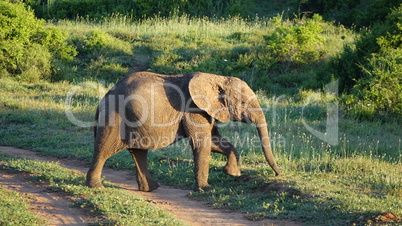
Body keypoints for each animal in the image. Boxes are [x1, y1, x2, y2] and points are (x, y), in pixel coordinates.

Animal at [85, 71, 282, 192]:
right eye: (244, 103)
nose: (278, 174)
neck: (216, 78)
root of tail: (104, 98)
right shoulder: (194, 109)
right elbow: (202, 143)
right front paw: (206, 189)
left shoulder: (205, 110)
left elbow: (215, 140)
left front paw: (232, 173)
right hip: (115, 117)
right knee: (103, 150)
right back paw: (96, 187)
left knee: (139, 152)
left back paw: (151, 188)